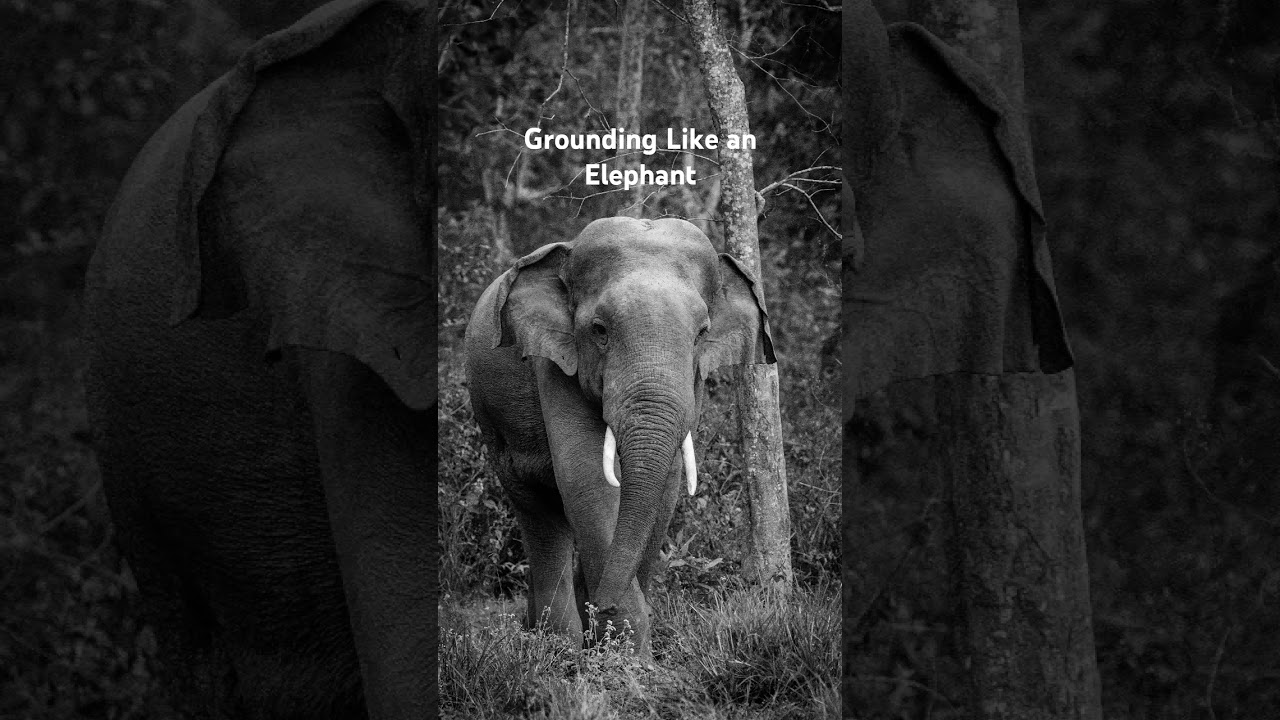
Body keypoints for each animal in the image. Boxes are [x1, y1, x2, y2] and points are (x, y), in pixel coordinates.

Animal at [464, 217, 774, 658]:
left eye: (702, 333)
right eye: (599, 330)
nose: (604, 606)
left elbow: (666, 487)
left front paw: (619, 650)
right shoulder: (554, 361)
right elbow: (588, 476)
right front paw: (625, 658)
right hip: (494, 428)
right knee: (539, 513)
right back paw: (558, 647)